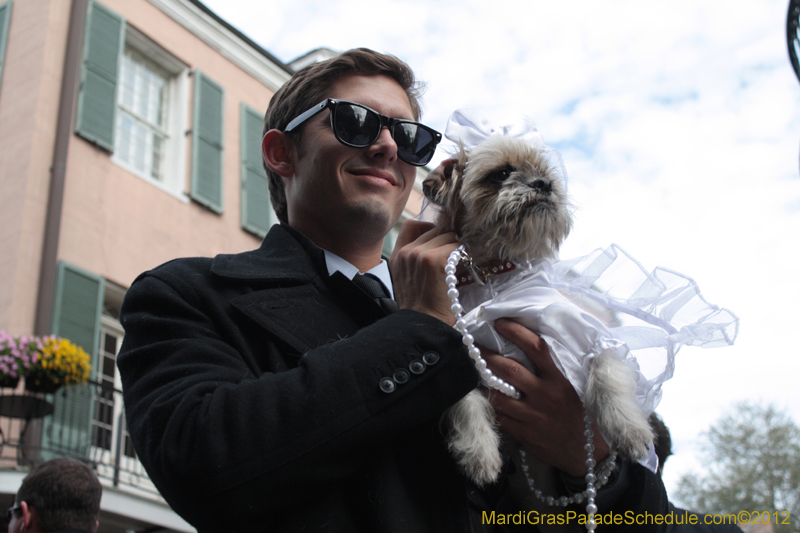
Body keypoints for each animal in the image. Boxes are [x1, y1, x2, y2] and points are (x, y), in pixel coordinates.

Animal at [422, 134, 652, 486]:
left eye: (546, 175)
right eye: (502, 173)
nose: (544, 184)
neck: (492, 273)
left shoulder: (592, 334)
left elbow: (605, 371)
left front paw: (628, 428)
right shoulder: (462, 354)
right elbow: (466, 401)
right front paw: (478, 450)